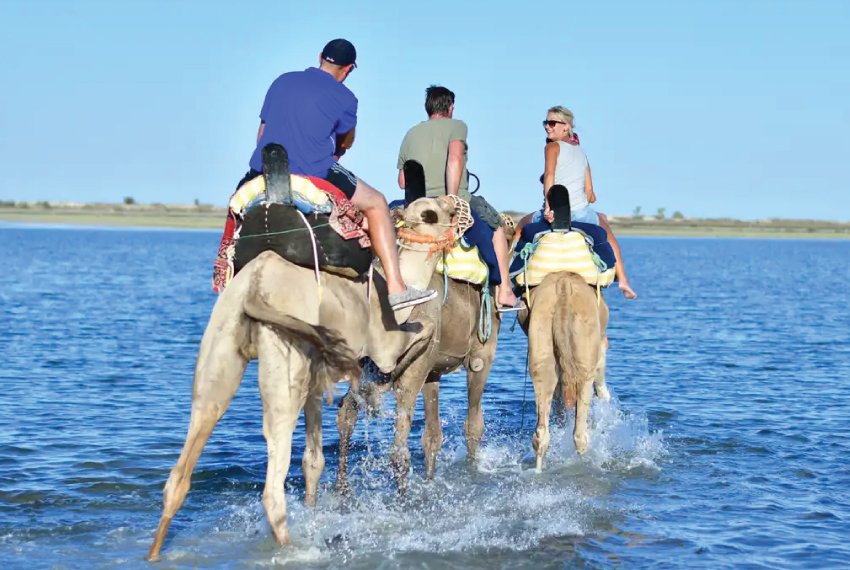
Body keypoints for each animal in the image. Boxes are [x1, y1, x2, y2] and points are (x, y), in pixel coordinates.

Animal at [146, 167, 459, 560]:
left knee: (181, 471)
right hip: (283, 366)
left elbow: (313, 461)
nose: (453, 202)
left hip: (218, 357)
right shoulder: (386, 341)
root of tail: (255, 287)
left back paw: (154, 553)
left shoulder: (315, 377)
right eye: (430, 212)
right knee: (272, 488)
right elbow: (420, 334)